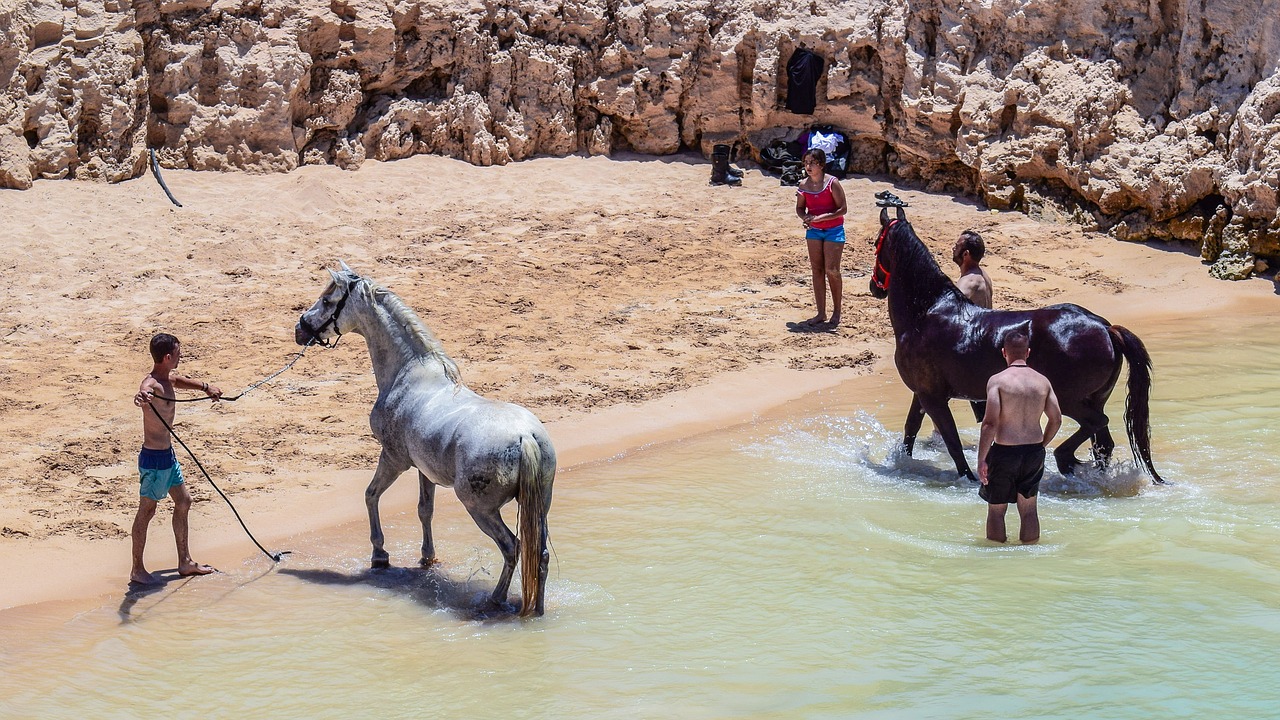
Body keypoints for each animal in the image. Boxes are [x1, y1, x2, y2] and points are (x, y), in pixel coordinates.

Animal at [299, 262, 560, 609]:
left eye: (328, 300)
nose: (300, 328)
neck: (410, 372)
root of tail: (525, 438)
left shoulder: (394, 459)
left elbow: (370, 495)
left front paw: (379, 555)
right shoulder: (425, 469)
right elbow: (425, 509)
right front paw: (427, 558)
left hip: (481, 510)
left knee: (513, 548)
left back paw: (494, 601)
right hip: (540, 506)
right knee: (538, 554)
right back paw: (536, 610)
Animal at [865, 210, 1167, 484]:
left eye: (877, 241)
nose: (874, 287)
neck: (926, 313)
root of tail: (1105, 328)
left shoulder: (933, 397)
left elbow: (951, 442)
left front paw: (969, 478)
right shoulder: (923, 393)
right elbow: (911, 429)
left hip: (1068, 399)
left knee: (1096, 424)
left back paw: (1065, 460)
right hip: (1094, 398)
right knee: (1102, 442)